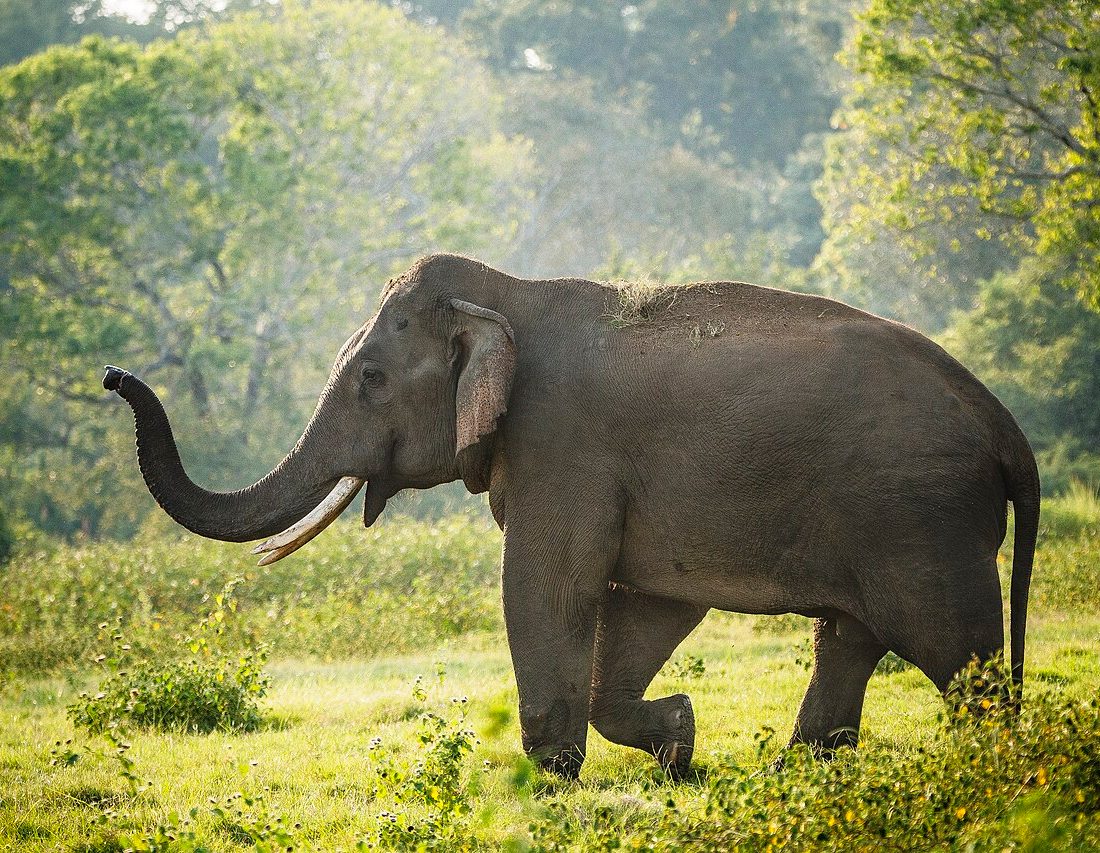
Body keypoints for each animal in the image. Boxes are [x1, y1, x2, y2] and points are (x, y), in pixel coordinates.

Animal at [103, 253, 1039, 779]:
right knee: (847, 639)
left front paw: (556, 775)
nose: (112, 374)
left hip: (923, 523)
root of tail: (1004, 423)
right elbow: (646, 604)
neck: (509, 297)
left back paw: (994, 771)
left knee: (960, 659)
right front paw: (680, 743)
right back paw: (796, 775)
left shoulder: (565, 447)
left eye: (370, 378)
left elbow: (547, 588)